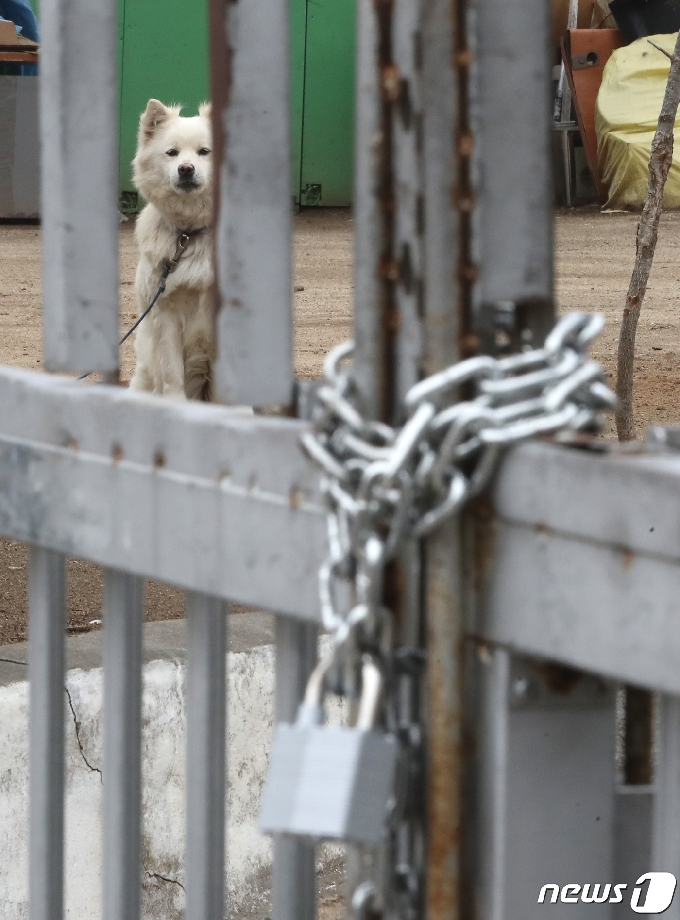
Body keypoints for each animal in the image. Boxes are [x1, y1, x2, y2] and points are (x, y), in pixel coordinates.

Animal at [127, 99, 212, 400]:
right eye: (172, 153)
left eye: (204, 151)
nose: (185, 168)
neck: (190, 233)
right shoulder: (166, 314)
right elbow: (172, 372)